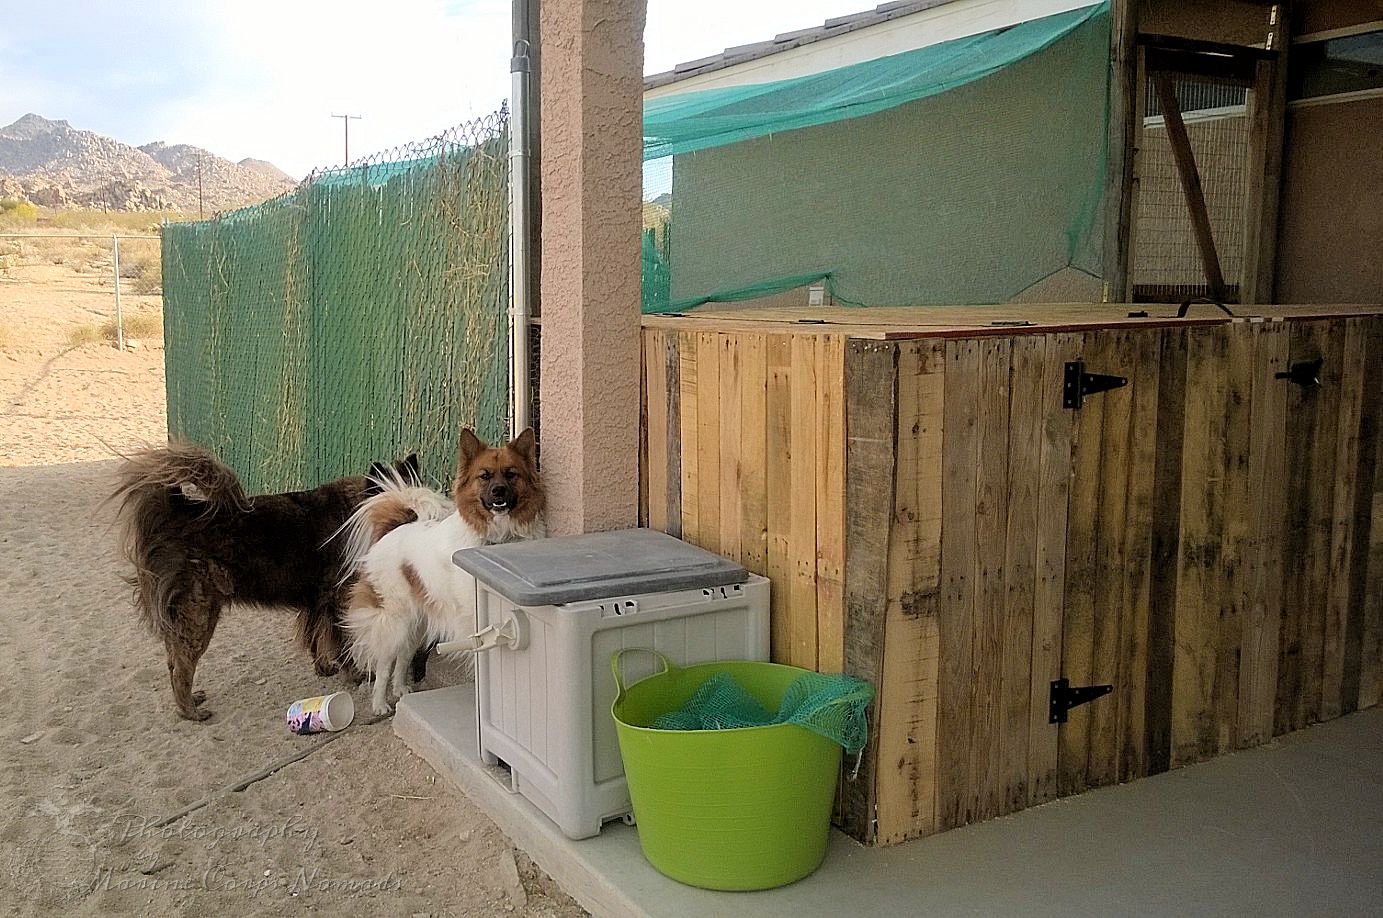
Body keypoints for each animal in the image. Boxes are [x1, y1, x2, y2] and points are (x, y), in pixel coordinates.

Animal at [112, 445, 417, 724]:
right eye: (403, 512)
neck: (357, 514)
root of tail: (178, 511)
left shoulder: (315, 603)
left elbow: (315, 638)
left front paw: (323, 668)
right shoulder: (335, 599)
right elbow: (340, 643)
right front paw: (353, 674)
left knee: (172, 660)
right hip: (199, 615)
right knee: (181, 668)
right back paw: (191, 712)